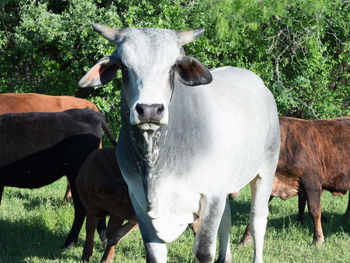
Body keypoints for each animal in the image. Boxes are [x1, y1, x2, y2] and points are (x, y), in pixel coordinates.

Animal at [78, 23, 278, 262]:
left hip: (265, 171)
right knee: (227, 221)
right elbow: (155, 253)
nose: (150, 110)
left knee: (257, 221)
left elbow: (203, 251)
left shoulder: (212, 196)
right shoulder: (139, 201)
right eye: (124, 67)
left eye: (172, 67)